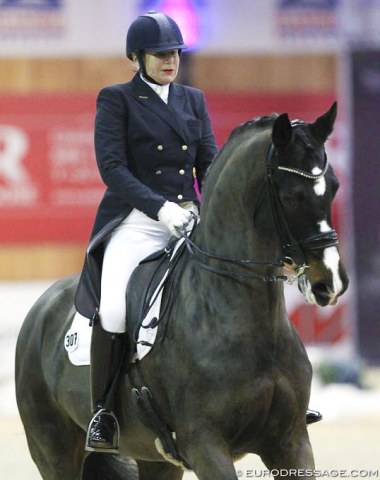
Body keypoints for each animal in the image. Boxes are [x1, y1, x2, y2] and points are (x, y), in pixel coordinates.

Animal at [15, 103, 348, 478]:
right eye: (290, 197)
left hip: (155, 458)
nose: (330, 283)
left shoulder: (290, 442)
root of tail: (44, 304)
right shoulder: (204, 444)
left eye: (334, 187)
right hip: (54, 448)